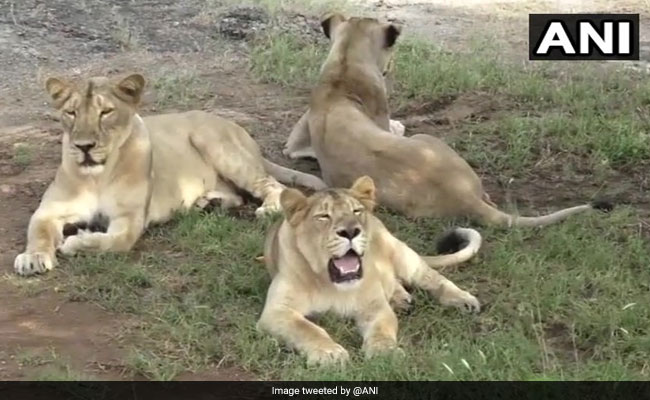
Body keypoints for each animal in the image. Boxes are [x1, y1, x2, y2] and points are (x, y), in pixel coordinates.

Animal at [14, 73, 326, 276]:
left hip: (214, 142)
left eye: (106, 112)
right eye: (71, 113)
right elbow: (38, 233)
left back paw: (268, 208)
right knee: (238, 195)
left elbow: (111, 242)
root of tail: (236, 126)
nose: (84, 146)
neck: (96, 176)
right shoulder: (49, 211)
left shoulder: (129, 221)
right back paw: (208, 203)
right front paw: (33, 258)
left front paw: (76, 242)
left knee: (270, 184)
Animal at [257, 176, 481, 365]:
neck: (332, 284)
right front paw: (330, 353)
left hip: (401, 253)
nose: (350, 231)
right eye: (323, 216)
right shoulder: (277, 311)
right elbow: (308, 329)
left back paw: (463, 300)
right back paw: (400, 299)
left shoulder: (375, 306)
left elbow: (382, 329)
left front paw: (384, 352)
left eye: (356, 211)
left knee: (433, 278)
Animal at [286, 13, 612, 227]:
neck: (344, 64)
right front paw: (399, 125)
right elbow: (395, 125)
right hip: (430, 140)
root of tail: (463, 197)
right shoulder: (381, 115)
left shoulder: (296, 140)